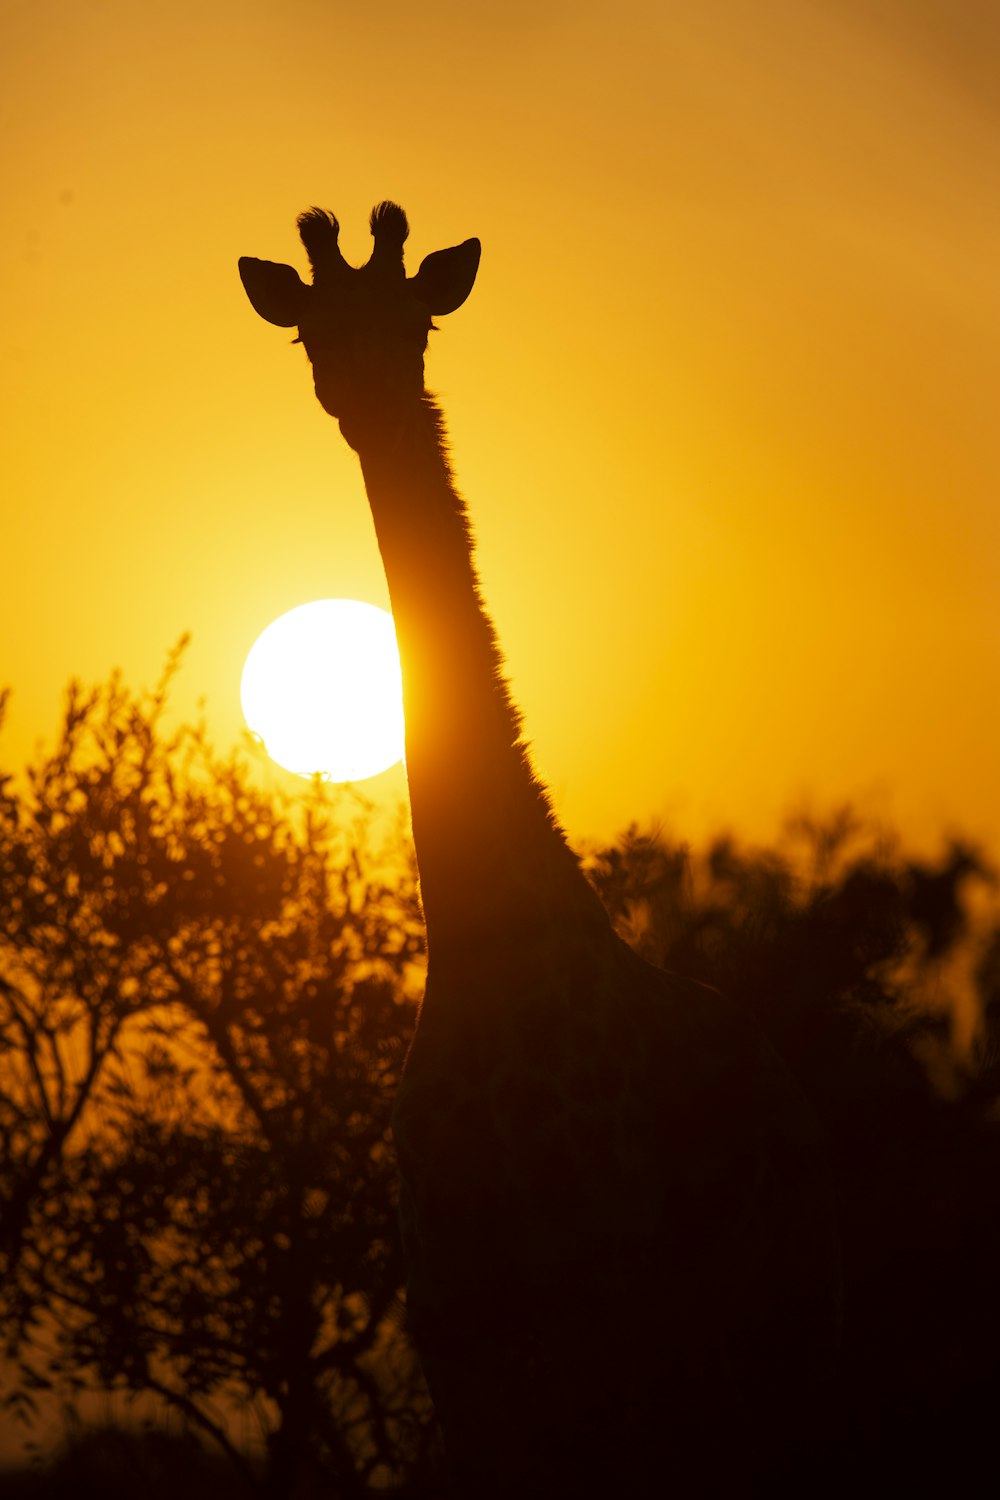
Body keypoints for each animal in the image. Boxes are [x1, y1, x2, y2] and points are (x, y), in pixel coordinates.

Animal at [238, 202, 839, 1500]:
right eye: (314, 329)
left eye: (413, 326)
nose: (366, 399)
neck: (485, 944)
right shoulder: (466, 1341)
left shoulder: (616, 1305)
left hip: (761, 1341)